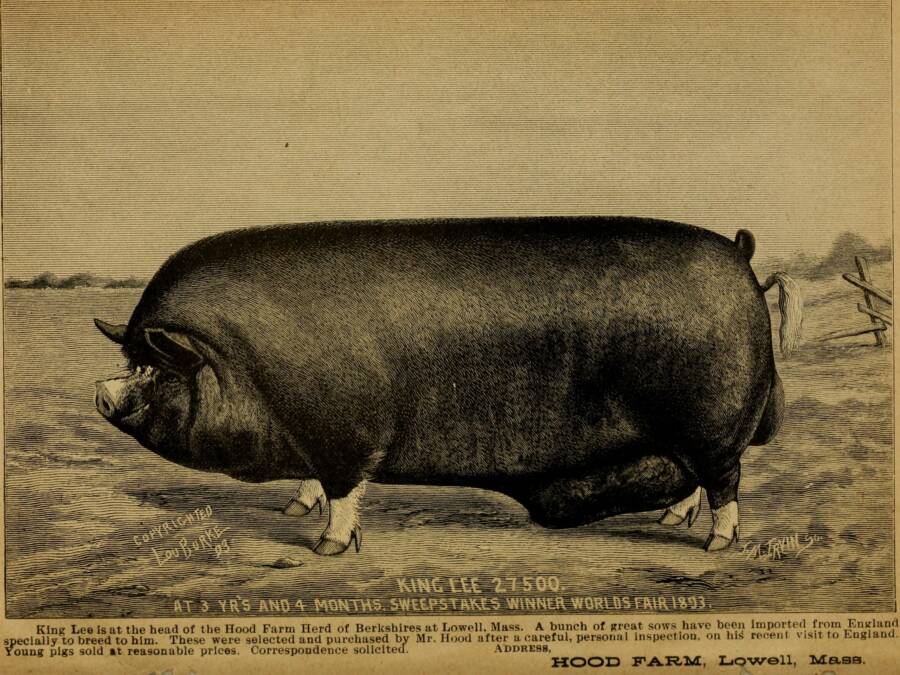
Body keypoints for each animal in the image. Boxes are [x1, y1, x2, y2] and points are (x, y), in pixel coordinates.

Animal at [94, 216, 801, 555]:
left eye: (153, 368)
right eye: (130, 360)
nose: (101, 391)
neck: (244, 367)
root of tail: (743, 258)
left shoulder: (348, 432)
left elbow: (346, 489)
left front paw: (326, 547)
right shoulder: (312, 438)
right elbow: (315, 482)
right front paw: (294, 510)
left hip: (712, 423)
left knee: (726, 480)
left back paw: (714, 543)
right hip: (687, 434)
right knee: (699, 480)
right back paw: (673, 519)